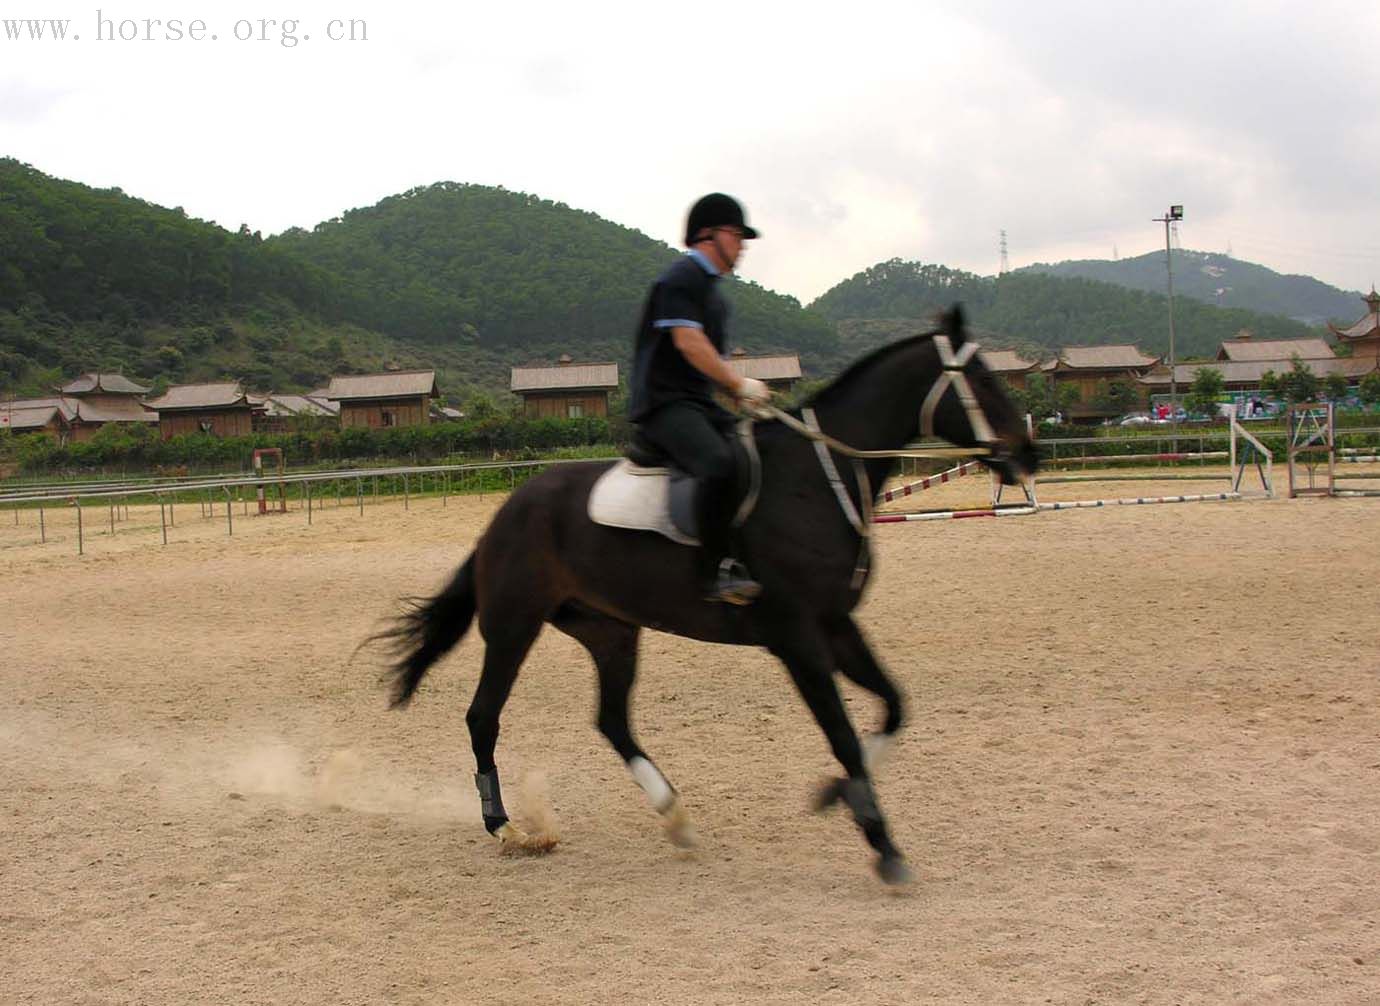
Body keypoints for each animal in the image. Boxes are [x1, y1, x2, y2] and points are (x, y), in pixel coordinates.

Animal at [375, 303, 1037, 877]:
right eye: (983, 381)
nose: (1026, 455)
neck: (814, 480)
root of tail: (506, 513)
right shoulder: (797, 638)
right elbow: (845, 736)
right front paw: (883, 846)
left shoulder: (836, 625)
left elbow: (894, 706)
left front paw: (836, 796)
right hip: (515, 624)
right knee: (483, 716)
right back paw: (505, 826)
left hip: (610, 630)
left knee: (611, 720)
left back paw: (675, 818)